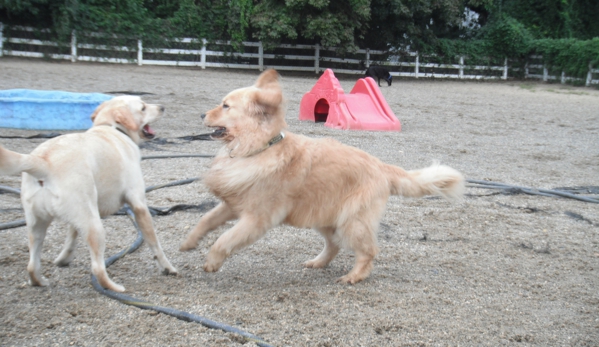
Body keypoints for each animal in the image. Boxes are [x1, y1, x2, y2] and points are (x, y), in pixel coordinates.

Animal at [0, 96, 177, 294]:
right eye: (143, 108)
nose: (162, 107)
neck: (111, 127)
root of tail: (43, 161)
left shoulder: (82, 213)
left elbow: (72, 234)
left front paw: (64, 258)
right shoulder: (139, 206)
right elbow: (154, 243)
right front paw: (167, 267)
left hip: (38, 224)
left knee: (31, 264)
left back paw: (39, 280)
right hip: (95, 226)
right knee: (98, 268)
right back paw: (114, 287)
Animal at [180, 69, 466, 284]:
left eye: (226, 106)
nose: (201, 114)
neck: (258, 149)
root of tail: (382, 166)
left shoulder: (256, 218)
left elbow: (224, 239)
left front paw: (212, 261)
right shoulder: (233, 203)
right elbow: (206, 220)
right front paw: (190, 242)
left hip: (353, 221)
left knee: (368, 251)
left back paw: (354, 276)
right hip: (325, 216)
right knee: (334, 245)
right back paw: (318, 262)